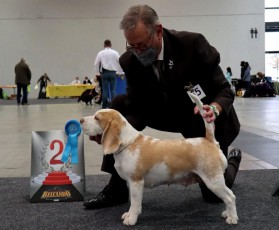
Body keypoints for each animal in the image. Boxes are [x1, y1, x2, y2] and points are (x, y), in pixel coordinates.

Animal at [80, 92, 238, 226]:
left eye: (97, 118)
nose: (81, 120)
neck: (128, 143)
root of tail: (209, 141)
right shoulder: (130, 183)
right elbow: (132, 203)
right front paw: (129, 215)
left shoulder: (136, 182)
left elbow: (135, 203)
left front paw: (131, 219)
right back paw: (227, 213)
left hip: (213, 181)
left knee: (230, 197)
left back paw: (232, 218)